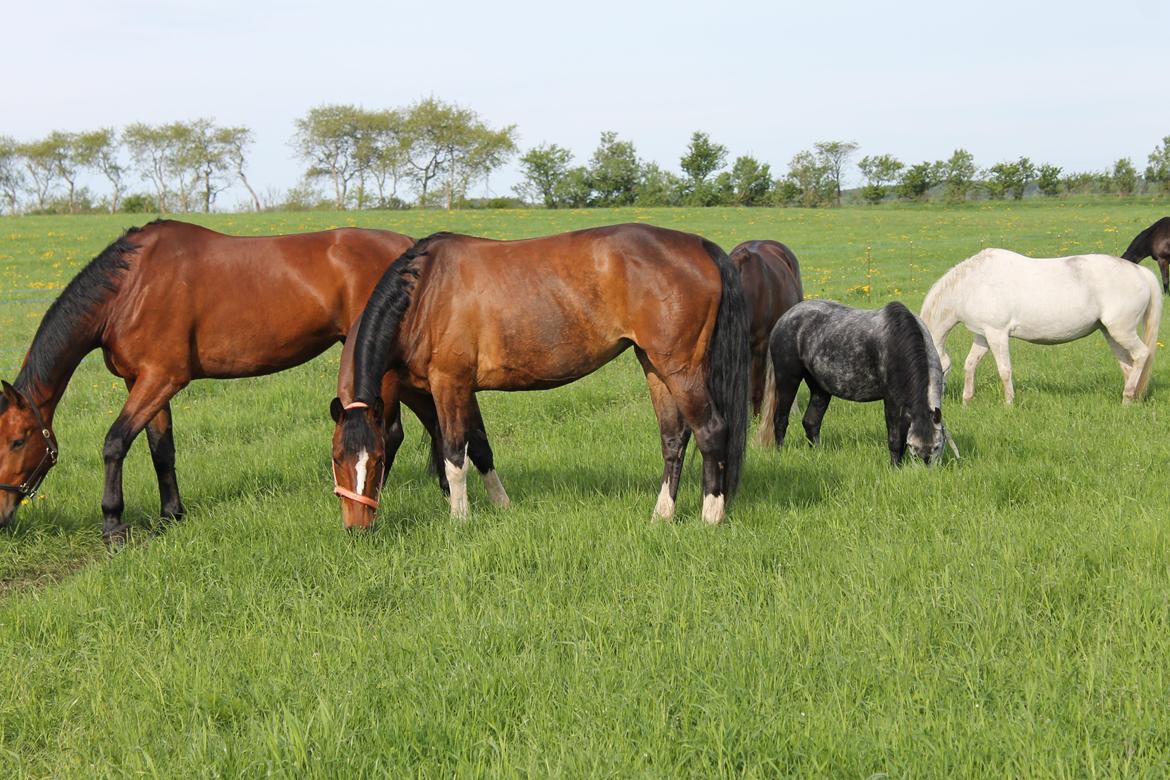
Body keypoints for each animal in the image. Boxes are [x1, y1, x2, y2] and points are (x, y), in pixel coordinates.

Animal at [0, 216, 416, 540]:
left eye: (18, 441)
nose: (2, 517)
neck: (131, 288)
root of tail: (409, 246)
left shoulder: (161, 379)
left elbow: (115, 443)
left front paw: (113, 525)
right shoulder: (144, 381)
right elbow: (161, 450)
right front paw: (170, 516)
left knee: (388, 432)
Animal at [329, 224, 748, 530]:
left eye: (378, 459)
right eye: (336, 458)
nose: (357, 526)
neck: (425, 293)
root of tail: (698, 245)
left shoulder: (449, 384)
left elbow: (454, 453)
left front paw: (460, 519)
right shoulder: (448, 390)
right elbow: (480, 447)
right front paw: (501, 505)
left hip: (681, 369)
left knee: (711, 431)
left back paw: (711, 516)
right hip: (655, 367)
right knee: (674, 438)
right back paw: (662, 515)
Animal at [753, 301, 954, 467]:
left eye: (937, 446)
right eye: (913, 447)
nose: (924, 468)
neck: (898, 343)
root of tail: (783, 319)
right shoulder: (891, 401)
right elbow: (895, 437)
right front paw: (895, 467)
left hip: (820, 388)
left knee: (811, 422)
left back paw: (817, 454)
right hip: (788, 380)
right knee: (780, 419)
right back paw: (779, 453)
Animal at [921, 249, 1160, 409]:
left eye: (940, 371)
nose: (934, 405)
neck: (970, 285)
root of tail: (1141, 272)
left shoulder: (997, 333)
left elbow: (1004, 370)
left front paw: (1009, 404)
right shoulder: (983, 335)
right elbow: (970, 365)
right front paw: (967, 401)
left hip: (1122, 331)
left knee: (1142, 354)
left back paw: (1127, 398)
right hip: (1110, 333)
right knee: (1128, 365)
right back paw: (1130, 399)